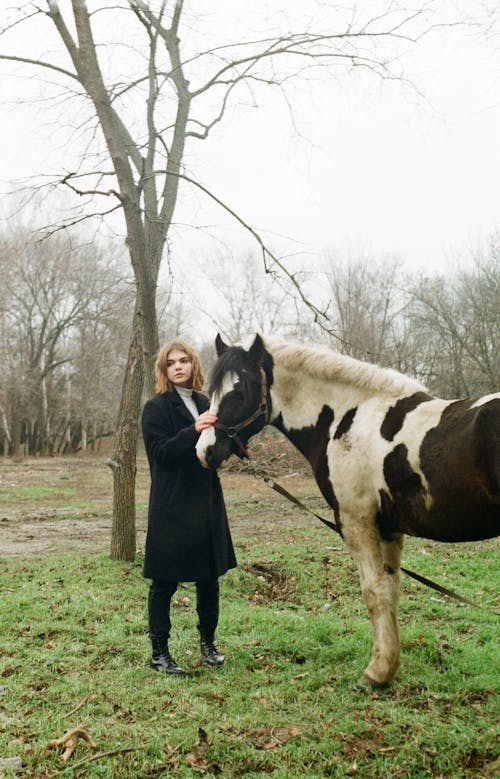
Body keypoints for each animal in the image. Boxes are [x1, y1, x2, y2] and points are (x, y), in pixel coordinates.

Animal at [196, 336, 500, 688]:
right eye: (212, 390)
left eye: (239, 391)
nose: (204, 451)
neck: (349, 418)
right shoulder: (388, 529)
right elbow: (390, 591)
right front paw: (387, 667)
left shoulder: (357, 522)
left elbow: (374, 592)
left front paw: (376, 673)